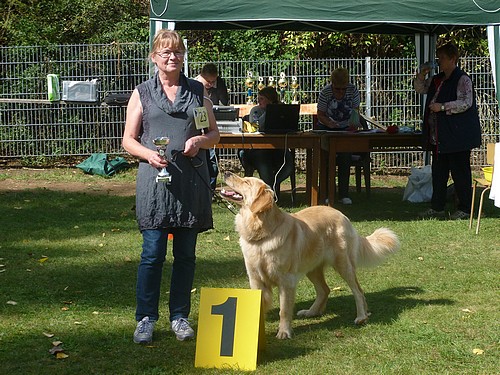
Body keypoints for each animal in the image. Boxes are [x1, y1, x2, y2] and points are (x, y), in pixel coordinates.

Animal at [221, 173, 400, 340]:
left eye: (246, 182)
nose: (227, 173)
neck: (262, 234)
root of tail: (342, 215)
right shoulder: (256, 280)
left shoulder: (286, 281)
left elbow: (284, 310)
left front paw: (284, 332)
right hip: (312, 268)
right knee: (324, 290)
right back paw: (311, 312)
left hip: (343, 265)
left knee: (358, 291)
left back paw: (361, 316)